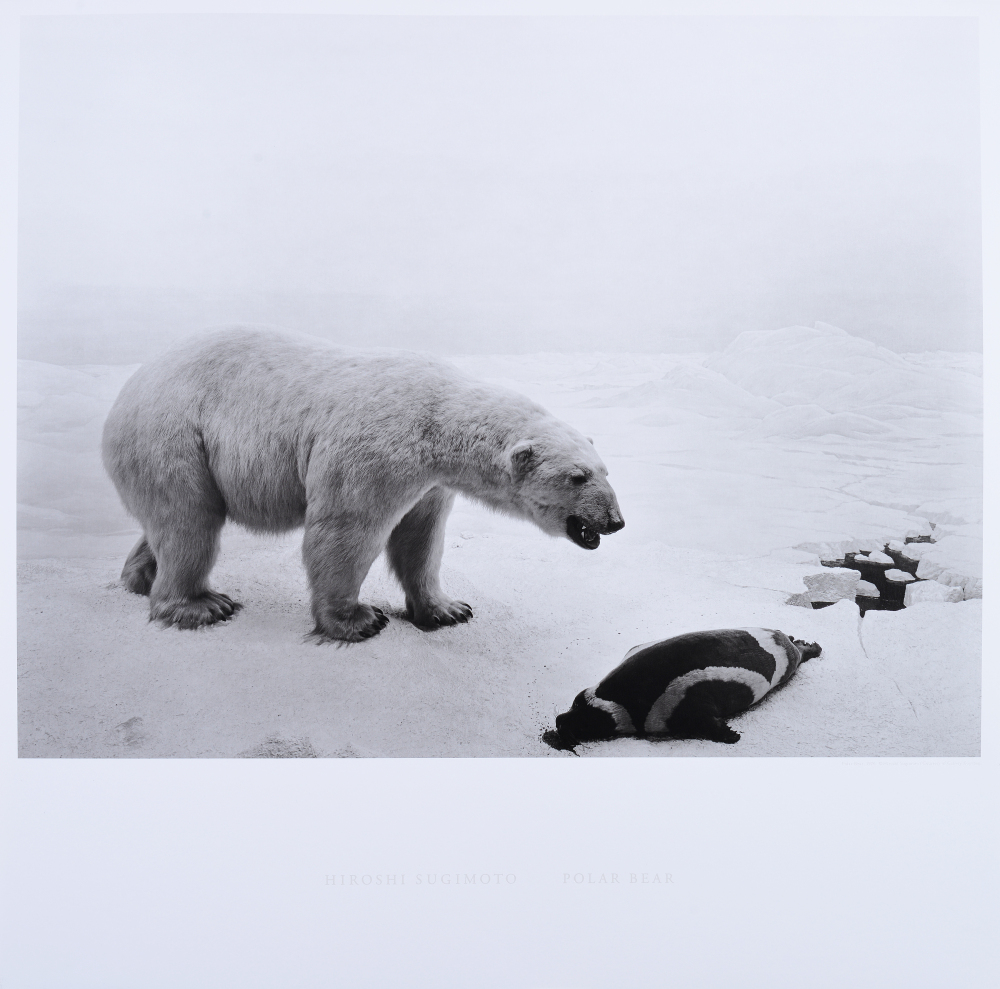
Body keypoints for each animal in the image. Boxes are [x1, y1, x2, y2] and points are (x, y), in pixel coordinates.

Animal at [102, 328, 625, 642]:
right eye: (577, 476)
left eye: (605, 470)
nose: (616, 521)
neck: (440, 420)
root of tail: (127, 389)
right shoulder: (377, 450)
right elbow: (346, 529)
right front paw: (357, 619)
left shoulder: (431, 482)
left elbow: (421, 539)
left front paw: (448, 609)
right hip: (175, 436)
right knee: (189, 519)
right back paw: (201, 604)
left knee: (170, 521)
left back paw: (140, 577)